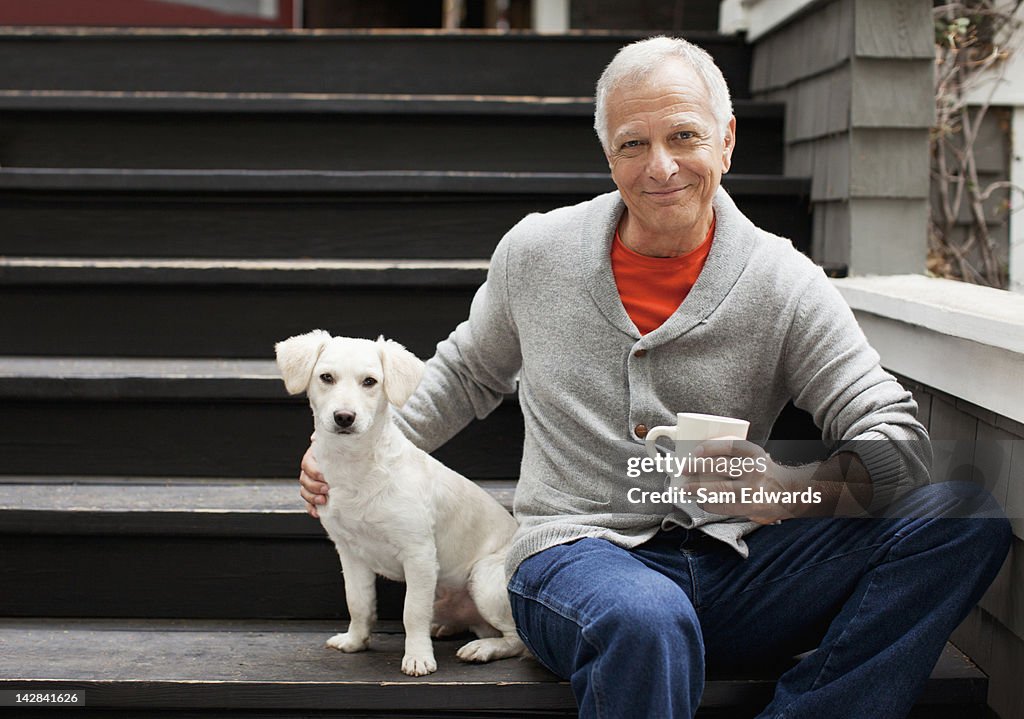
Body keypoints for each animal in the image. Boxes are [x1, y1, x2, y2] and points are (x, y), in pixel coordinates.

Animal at [274, 329, 524, 680]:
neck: (357, 469)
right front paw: (355, 641)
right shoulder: (349, 552)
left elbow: (412, 612)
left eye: (370, 382)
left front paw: (417, 657)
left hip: (485, 579)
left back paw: (483, 649)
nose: (344, 417)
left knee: (517, 640)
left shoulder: (418, 554)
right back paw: (446, 628)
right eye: (326, 377)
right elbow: (358, 603)